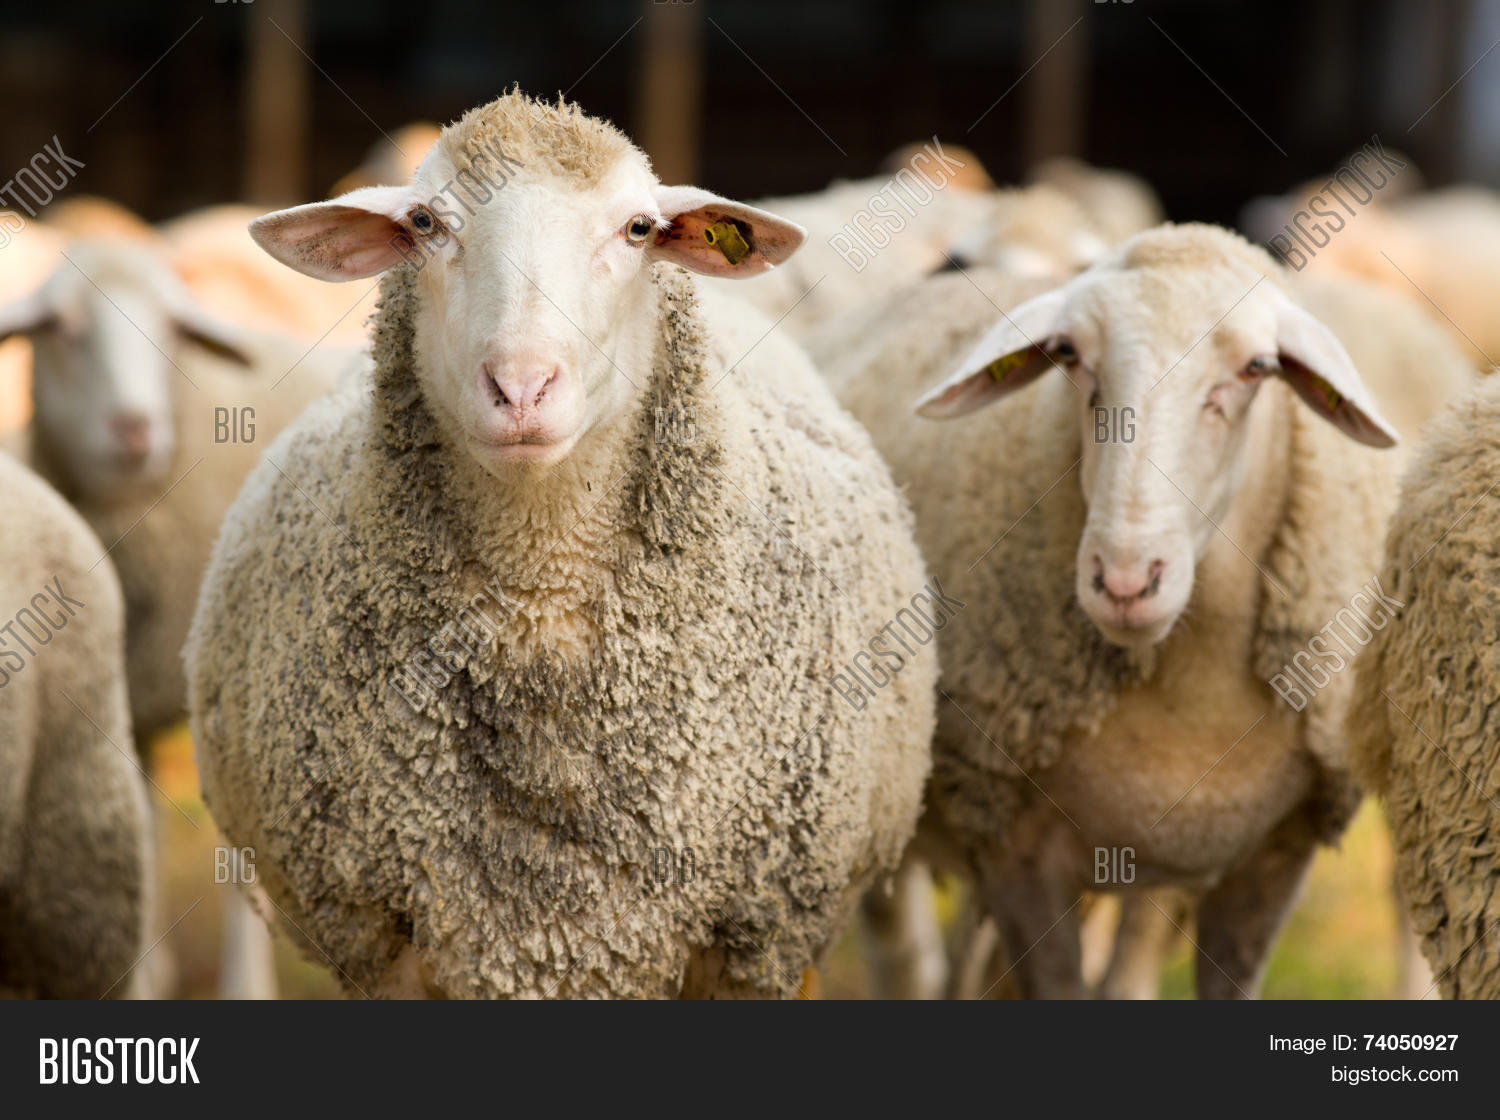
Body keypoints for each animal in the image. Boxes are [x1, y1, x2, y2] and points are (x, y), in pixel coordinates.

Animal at [184, 90, 935, 999]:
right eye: (426, 223)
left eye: (638, 229)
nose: (521, 387)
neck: (541, 598)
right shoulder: (380, 933)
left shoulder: (754, 940)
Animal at [809, 223, 1441, 999]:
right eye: (1068, 355)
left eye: (1257, 368)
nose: (1125, 580)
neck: (1191, 700)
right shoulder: (1015, 847)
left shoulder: (1272, 858)